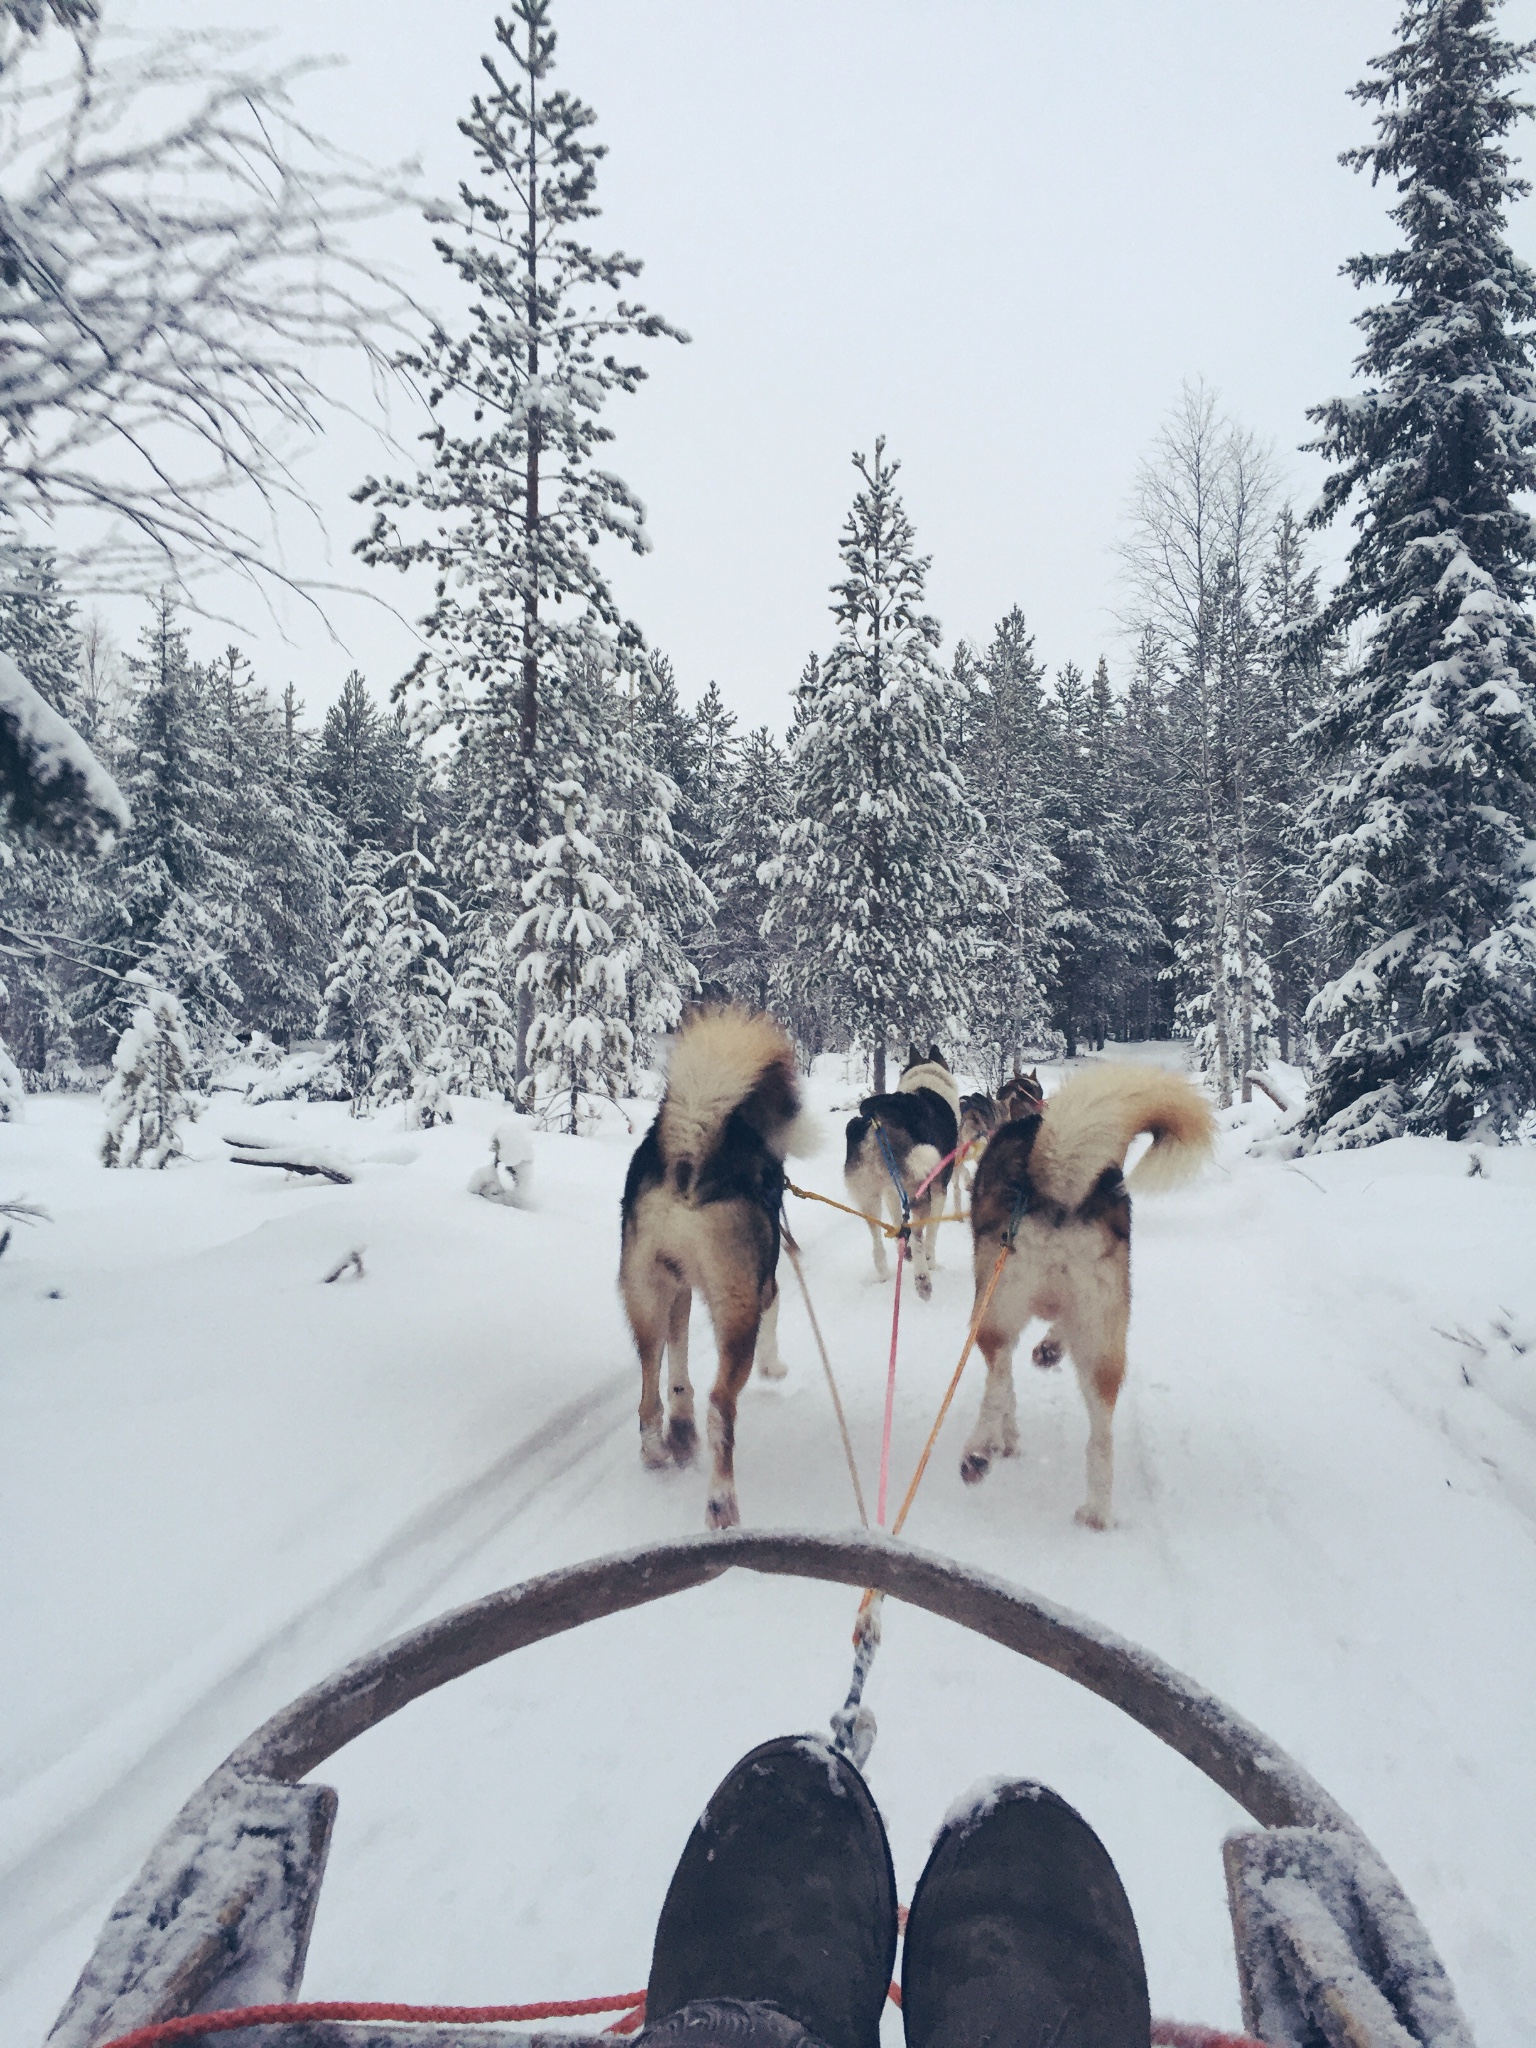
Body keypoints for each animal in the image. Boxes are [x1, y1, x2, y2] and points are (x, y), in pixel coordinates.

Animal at [618, 999, 819, 1531]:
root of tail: (690, 1157)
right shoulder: (762, 1286)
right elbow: (775, 1312)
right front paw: (774, 1366)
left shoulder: (682, 1290)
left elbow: (678, 1369)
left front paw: (680, 1431)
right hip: (734, 1313)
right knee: (720, 1408)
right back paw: (720, 1502)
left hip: (644, 1296)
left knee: (649, 1392)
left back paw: (658, 1450)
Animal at [843, 1048, 962, 1302]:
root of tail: (878, 1120)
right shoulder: (939, 1186)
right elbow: (931, 1233)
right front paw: (930, 1260)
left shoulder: (891, 1192)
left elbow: (900, 1226)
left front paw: (903, 1250)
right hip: (919, 1192)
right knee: (918, 1236)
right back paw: (922, 1278)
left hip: (869, 1197)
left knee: (877, 1241)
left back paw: (884, 1272)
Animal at [962, 1064, 1212, 1531]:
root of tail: (1056, 1183)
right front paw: (1049, 1350)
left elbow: (1007, 1390)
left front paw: (1006, 1439)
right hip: (1103, 1339)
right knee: (1101, 1437)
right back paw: (1097, 1512)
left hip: (992, 1310)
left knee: (998, 1379)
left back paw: (979, 1451)